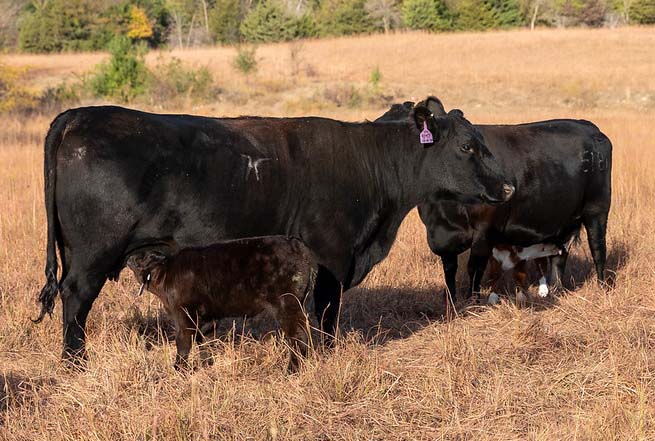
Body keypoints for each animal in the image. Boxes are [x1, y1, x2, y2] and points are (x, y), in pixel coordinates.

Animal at [126, 236, 317, 372]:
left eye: (142, 257)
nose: (128, 258)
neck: (166, 275)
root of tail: (297, 244)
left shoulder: (184, 316)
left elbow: (183, 343)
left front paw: (178, 370)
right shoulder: (207, 318)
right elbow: (206, 342)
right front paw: (206, 366)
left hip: (287, 305)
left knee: (298, 337)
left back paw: (291, 371)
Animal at [377, 99, 612, 302]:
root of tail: (588, 126)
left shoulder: (484, 231)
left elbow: (474, 268)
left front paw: (472, 302)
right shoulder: (442, 236)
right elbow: (449, 270)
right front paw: (451, 301)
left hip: (597, 210)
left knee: (598, 249)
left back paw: (603, 288)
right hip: (561, 222)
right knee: (559, 258)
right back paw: (555, 291)